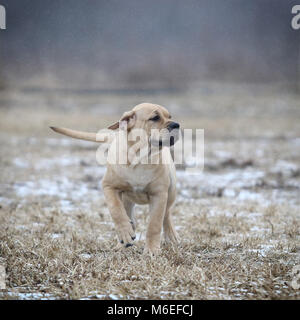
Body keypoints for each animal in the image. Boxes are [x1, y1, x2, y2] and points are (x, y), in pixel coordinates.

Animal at [51, 102, 180, 255]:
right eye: (155, 118)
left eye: (170, 117)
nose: (176, 124)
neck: (140, 159)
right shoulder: (109, 186)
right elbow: (116, 210)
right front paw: (125, 233)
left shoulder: (159, 193)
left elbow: (154, 223)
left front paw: (151, 250)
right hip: (127, 198)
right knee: (129, 215)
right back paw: (123, 242)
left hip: (171, 191)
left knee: (166, 213)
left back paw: (171, 236)